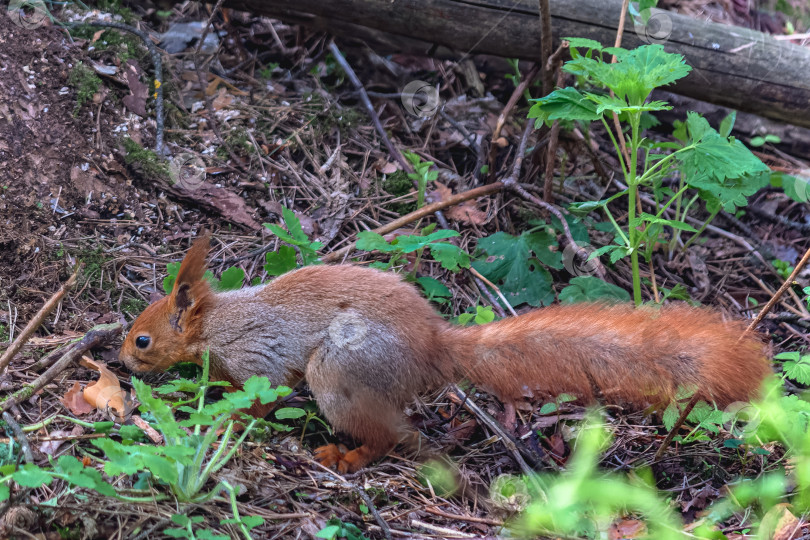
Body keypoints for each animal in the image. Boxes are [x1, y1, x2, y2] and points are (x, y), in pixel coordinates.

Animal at [117, 237, 768, 472]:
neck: (215, 322)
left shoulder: (257, 358)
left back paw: (346, 455)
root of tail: (433, 348)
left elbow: (261, 396)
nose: (123, 362)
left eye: (142, 338)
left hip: (340, 372)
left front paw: (223, 417)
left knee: (393, 435)